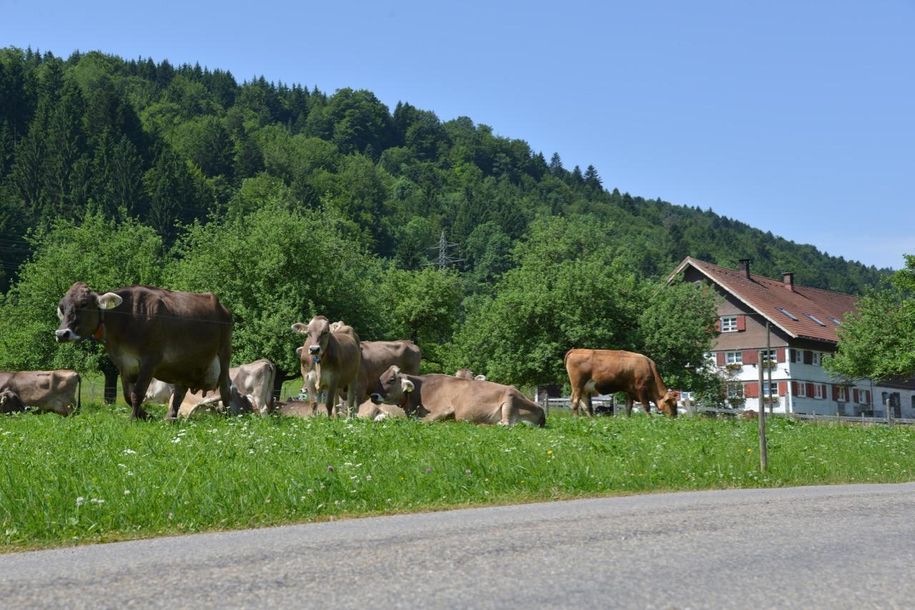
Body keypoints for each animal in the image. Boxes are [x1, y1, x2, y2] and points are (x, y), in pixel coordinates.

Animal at [55, 282, 252, 418]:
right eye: (62, 307)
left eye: (83, 304)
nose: (62, 333)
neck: (127, 318)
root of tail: (223, 307)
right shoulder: (124, 363)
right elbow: (128, 395)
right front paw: (145, 415)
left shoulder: (150, 360)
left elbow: (138, 393)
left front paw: (134, 418)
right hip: (184, 365)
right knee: (180, 391)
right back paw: (170, 418)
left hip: (224, 354)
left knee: (225, 389)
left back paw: (228, 417)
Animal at [370, 364, 548, 426]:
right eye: (380, 377)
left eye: (391, 379)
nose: (373, 395)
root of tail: (541, 409)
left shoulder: (444, 408)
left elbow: (422, 421)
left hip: (509, 398)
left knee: (505, 424)